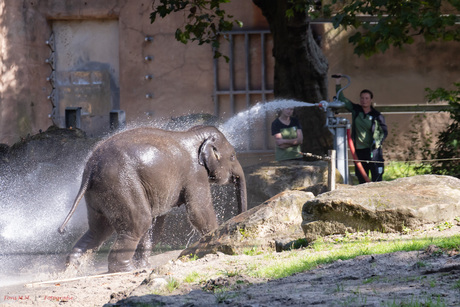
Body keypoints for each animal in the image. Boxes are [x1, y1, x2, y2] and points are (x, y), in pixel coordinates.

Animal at [58, 126, 248, 274]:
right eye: (233, 156)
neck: (195, 134)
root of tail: (90, 168)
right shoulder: (195, 174)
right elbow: (198, 211)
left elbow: (157, 223)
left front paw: (144, 264)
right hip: (120, 184)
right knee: (138, 223)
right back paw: (126, 270)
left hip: (99, 193)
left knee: (99, 230)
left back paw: (72, 269)